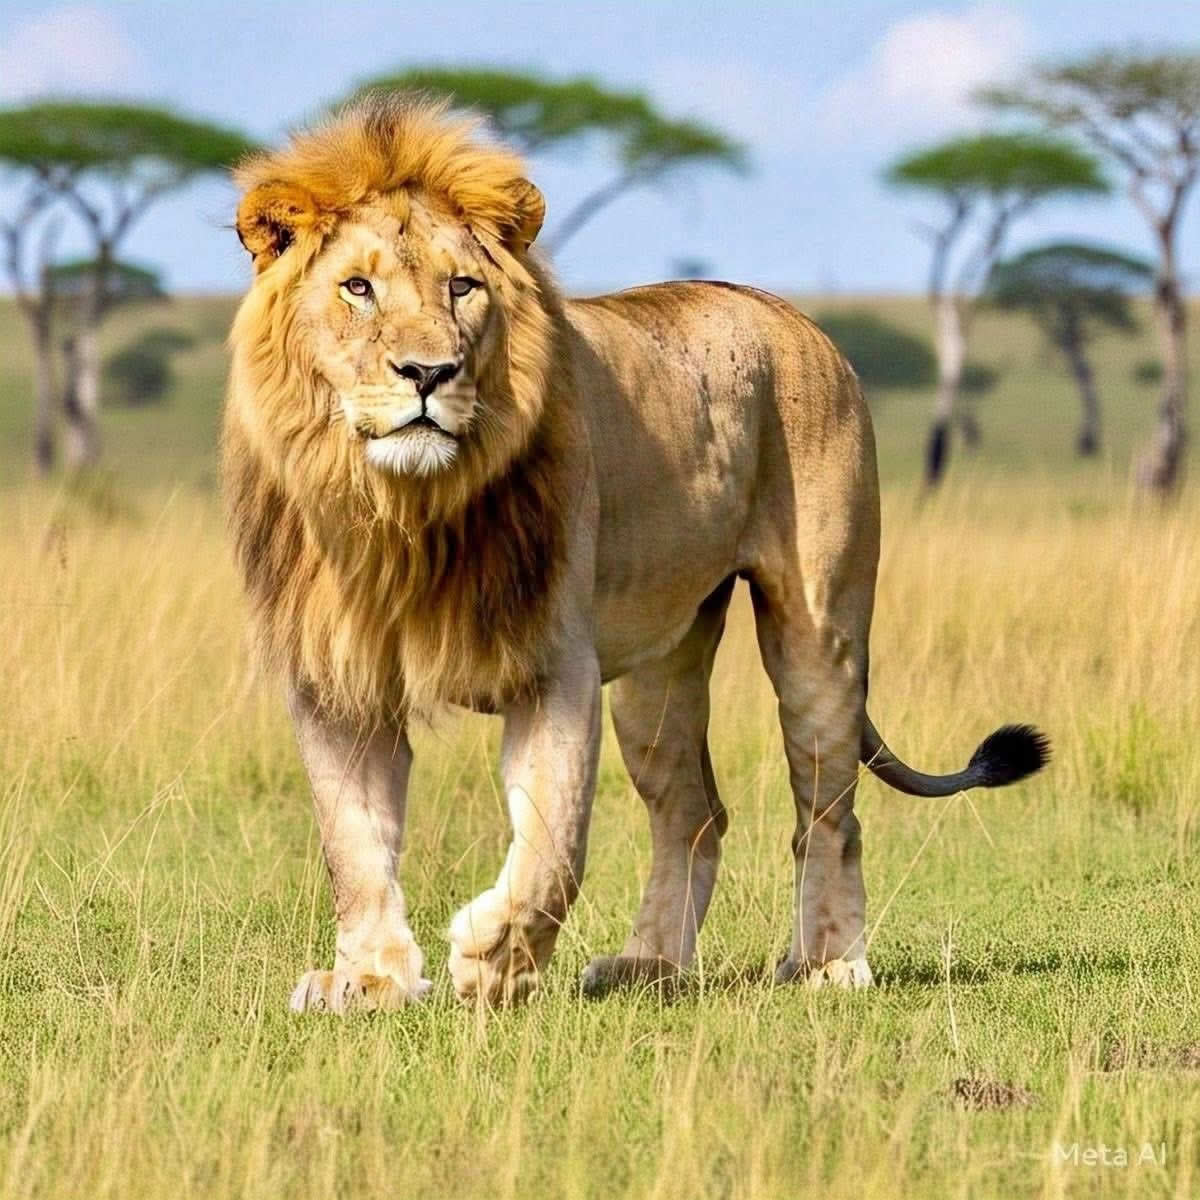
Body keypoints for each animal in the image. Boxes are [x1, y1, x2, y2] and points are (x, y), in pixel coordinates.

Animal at [223, 96, 1049, 1012]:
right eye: (357, 288)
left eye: (461, 286)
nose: (428, 373)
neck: (403, 511)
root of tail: (792, 313)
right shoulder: (336, 677)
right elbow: (354, 844)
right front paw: (369, 979)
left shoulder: (555, 663)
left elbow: (554, 840)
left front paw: (493, 960)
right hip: (662, 668)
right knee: (694, 812)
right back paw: (650, 964)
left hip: (818, 632)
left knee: (829, 811)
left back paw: (829, 962)